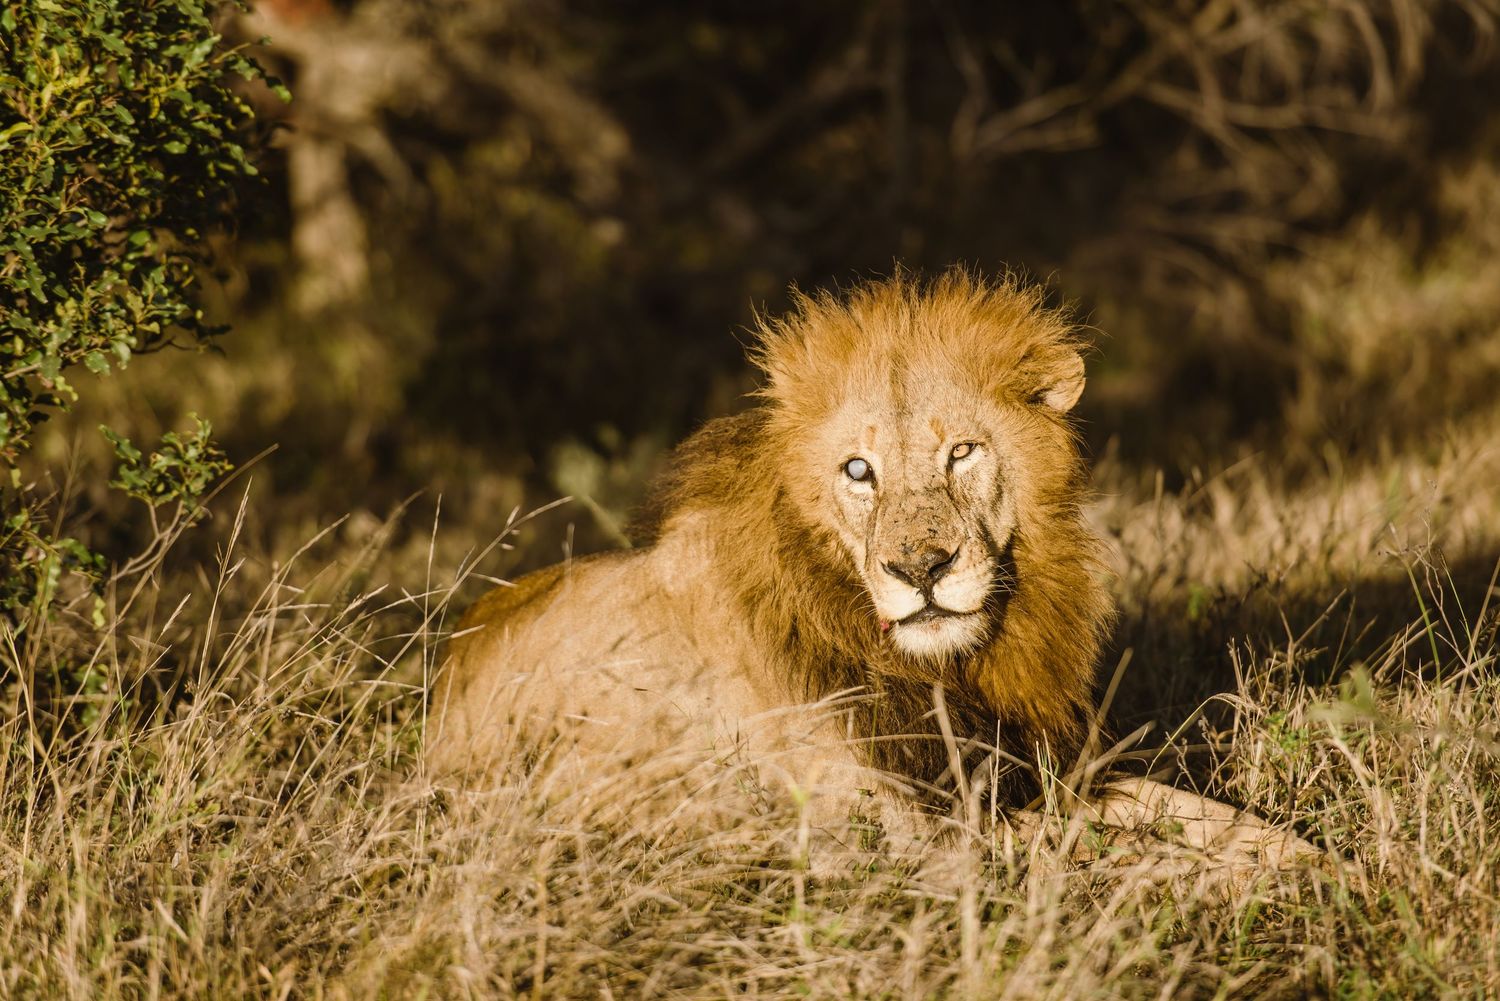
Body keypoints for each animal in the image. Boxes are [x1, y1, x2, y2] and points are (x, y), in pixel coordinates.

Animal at [429, 270, 1315, 875]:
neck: (949, 667)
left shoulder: (1028, 769)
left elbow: (1183, 809)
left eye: (961, 451)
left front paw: (1309, 860)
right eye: (859, 471)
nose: (922, 567)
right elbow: (1118, 846)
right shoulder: (896, 837)